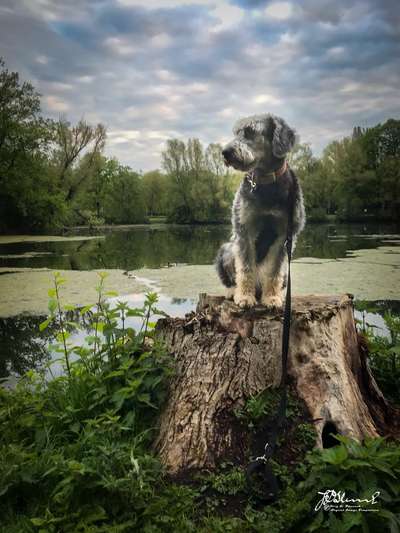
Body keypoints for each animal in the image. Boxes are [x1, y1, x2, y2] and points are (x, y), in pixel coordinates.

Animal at [217, 113, 304, 308]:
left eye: (250, 131)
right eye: (236, 132)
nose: (225, 152)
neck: (266, 182)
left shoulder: (284, 237)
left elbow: (274, 271)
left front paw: (271, 298)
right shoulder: (244, 230)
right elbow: (245, 267)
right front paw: (244, 296)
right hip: (227, 249)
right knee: (232, 278)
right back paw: (233, 291)